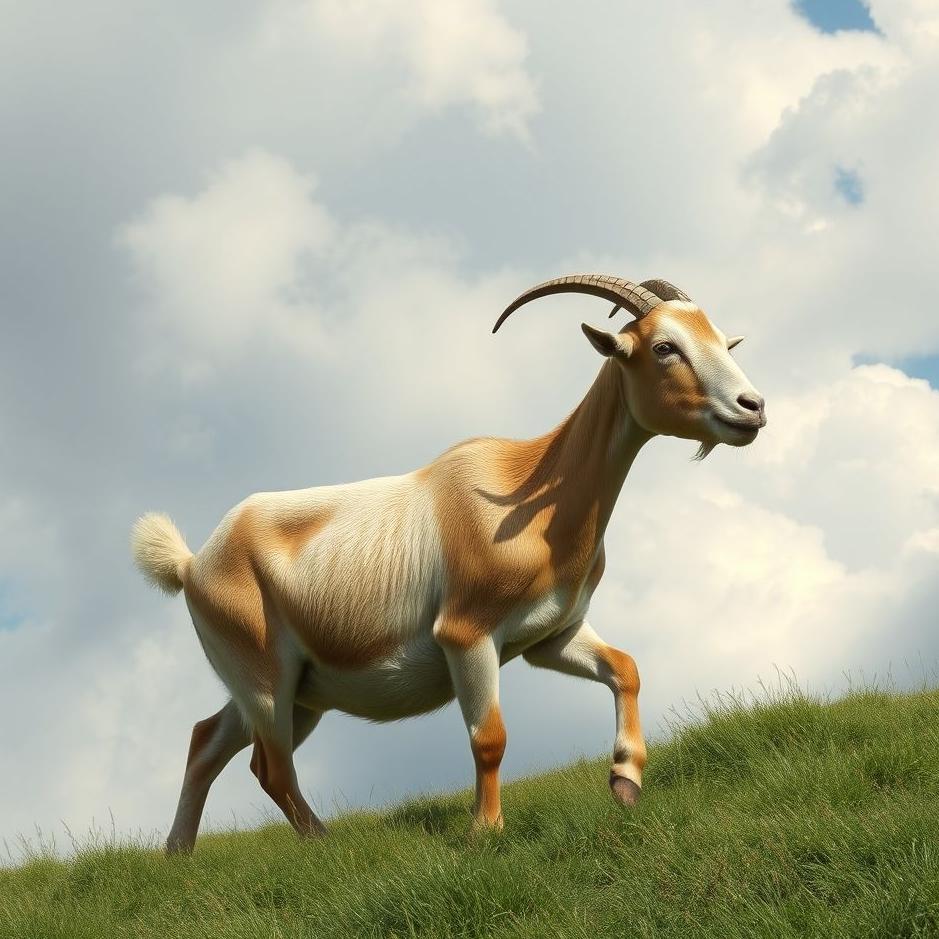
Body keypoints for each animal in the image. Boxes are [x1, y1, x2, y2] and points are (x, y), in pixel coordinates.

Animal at [132, 274, 766, 853]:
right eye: (664, 347)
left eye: (721, 340)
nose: (752, 409)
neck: (528, 488)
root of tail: (192, 565)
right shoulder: (466, 634)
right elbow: (489, 736)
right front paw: (485, 832)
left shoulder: (550, 637)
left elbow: (625, 667)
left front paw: (625, 780)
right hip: (266, 678)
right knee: (270, 767)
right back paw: (327, 845)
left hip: (294, 692)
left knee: (207, 742)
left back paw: (178, 857)